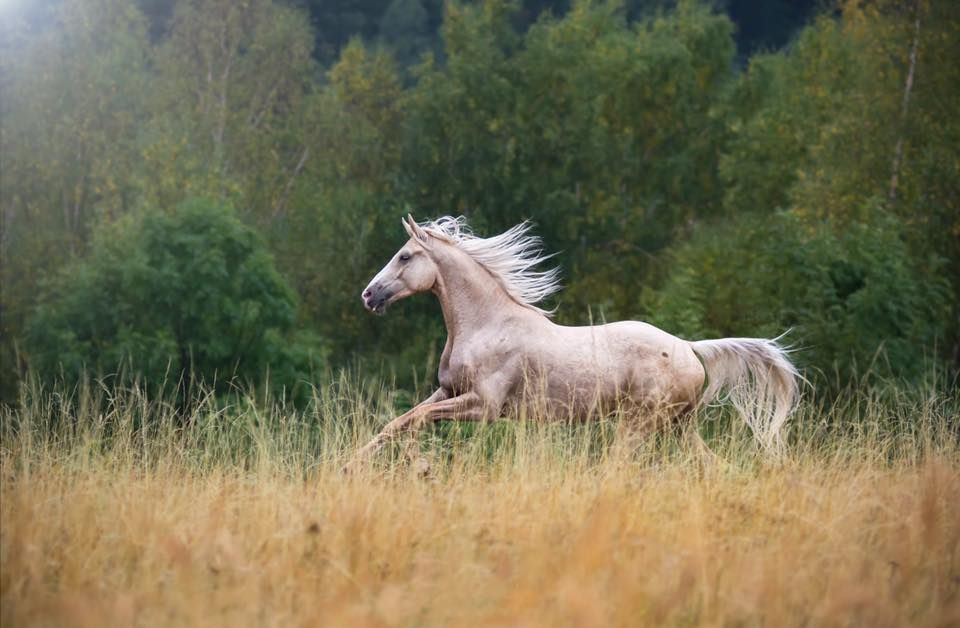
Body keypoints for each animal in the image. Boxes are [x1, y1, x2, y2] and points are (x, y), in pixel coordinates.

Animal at [348, 216, 800, 466]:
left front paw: (420, 465)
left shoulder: (484, 407)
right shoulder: (448, 391)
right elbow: (401, 421)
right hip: (678, 426)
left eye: (405, 256)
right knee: (713, 465)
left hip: (640, 423)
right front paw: (353, 465)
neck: (486, 324)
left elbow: (415, 419)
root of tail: (690, 348)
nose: (368, 295)